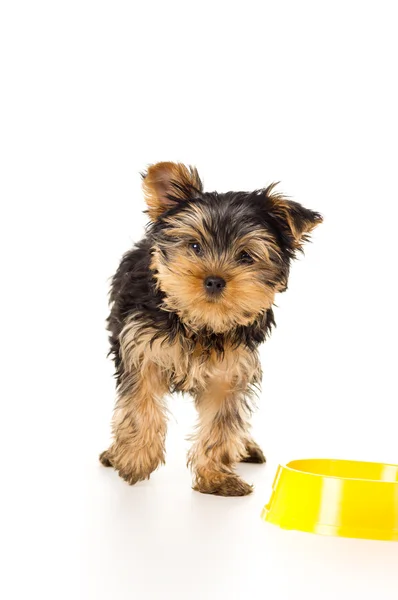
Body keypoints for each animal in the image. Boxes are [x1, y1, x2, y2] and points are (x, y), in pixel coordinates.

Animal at [101, 162, 322, 494]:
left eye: (245, 256)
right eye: (194, 246)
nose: (215, 280)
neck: (200, 323)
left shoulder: (231, 370)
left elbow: (221, 423)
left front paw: (216, 477)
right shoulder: (141, 349)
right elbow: (140, 404)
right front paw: (135, 459)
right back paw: (114, 454)